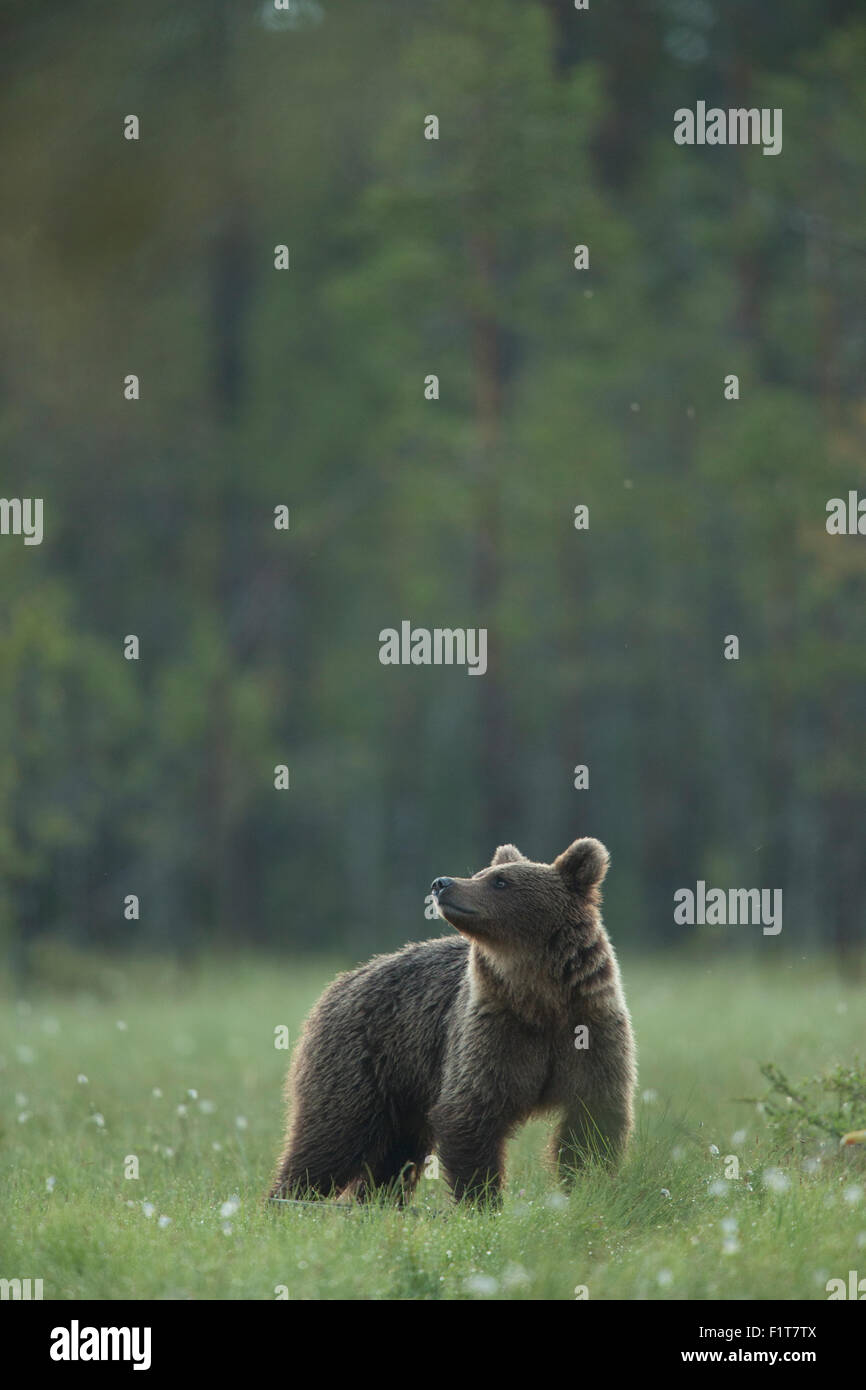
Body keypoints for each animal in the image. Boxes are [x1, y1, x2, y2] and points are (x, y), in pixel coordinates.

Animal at [268, 836, 636, 1206]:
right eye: (482, 873)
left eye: (500, 880)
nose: (442, 883)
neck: (539, 998)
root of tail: (341, 982)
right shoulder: (489, 1031)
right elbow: (469, 1113)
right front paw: (482, 1200)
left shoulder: (588, 1028)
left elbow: (593, 1120)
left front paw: (588, 1186)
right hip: (363, 1058)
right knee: (333, 1135)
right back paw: (288, 1198)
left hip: (402, 1087)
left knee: (394, 1153)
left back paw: (373, 1201)